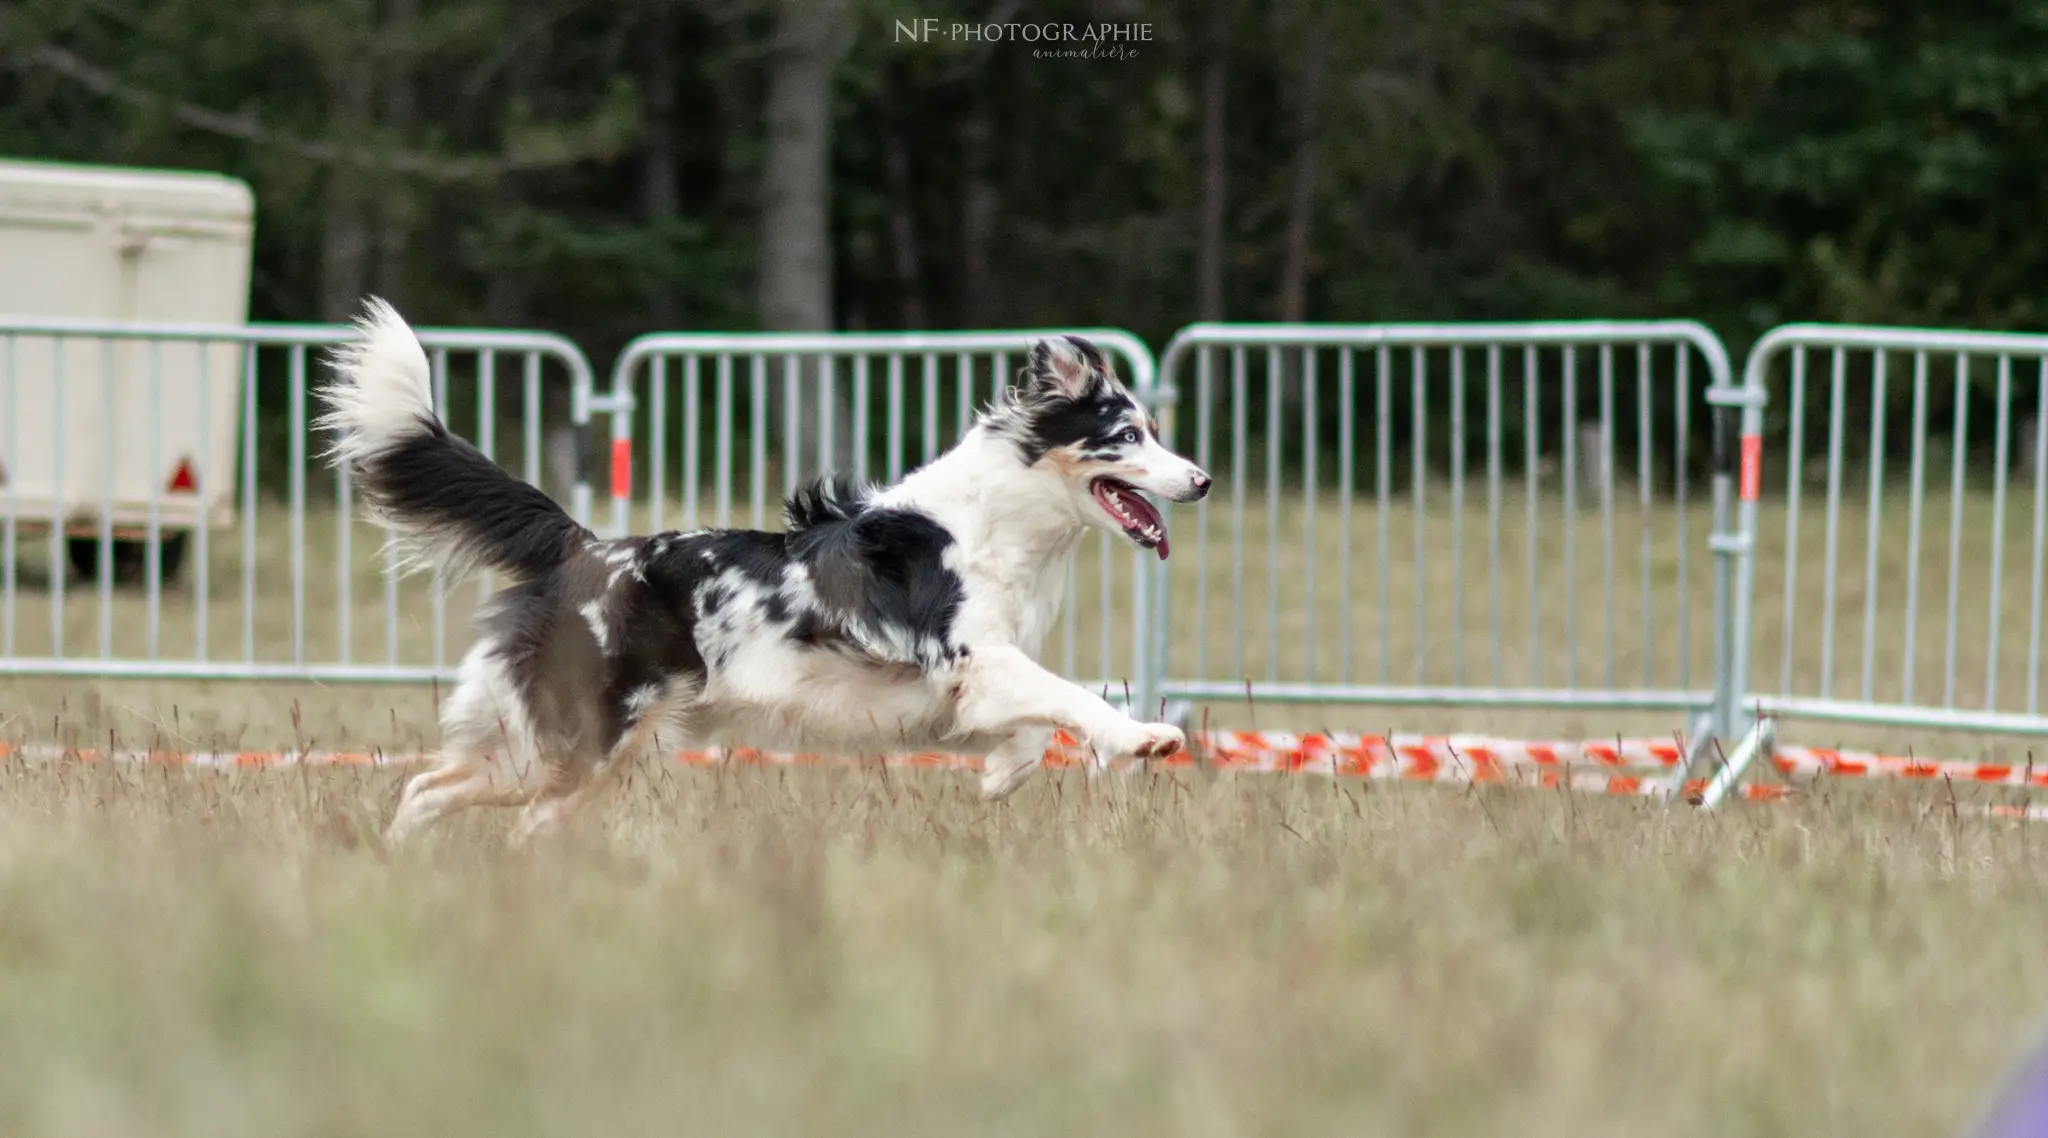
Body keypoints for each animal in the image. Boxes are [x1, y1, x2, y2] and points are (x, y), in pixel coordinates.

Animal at [317, 300, 1204, 843]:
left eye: (1158, 431)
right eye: (1128, 435)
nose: (1200, 481)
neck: (996, 521)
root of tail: (580, 548)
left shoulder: (969, 680)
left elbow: (1033, 724)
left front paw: (996, 778)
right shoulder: (971, 656)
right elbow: (1070, 696)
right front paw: (1143, 739)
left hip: (547, 749)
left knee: (430, 791)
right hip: (580, 740)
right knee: (510, 816)